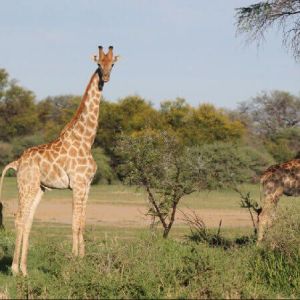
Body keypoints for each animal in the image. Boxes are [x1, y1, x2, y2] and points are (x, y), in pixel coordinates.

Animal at [0, 45, 119, 276]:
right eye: (99, 64)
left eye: (113, 64)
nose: (106, 77)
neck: (86, 139)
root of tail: (17, 163)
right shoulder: (78, 184)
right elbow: (74, 223)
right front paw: (74, 263)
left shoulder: (87, 185)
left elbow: (82, 223)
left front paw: (83, 260)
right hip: (26, 185)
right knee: (19, 217)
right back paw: (14, 269)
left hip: (38, 188)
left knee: (28, 220)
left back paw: (25, 270)